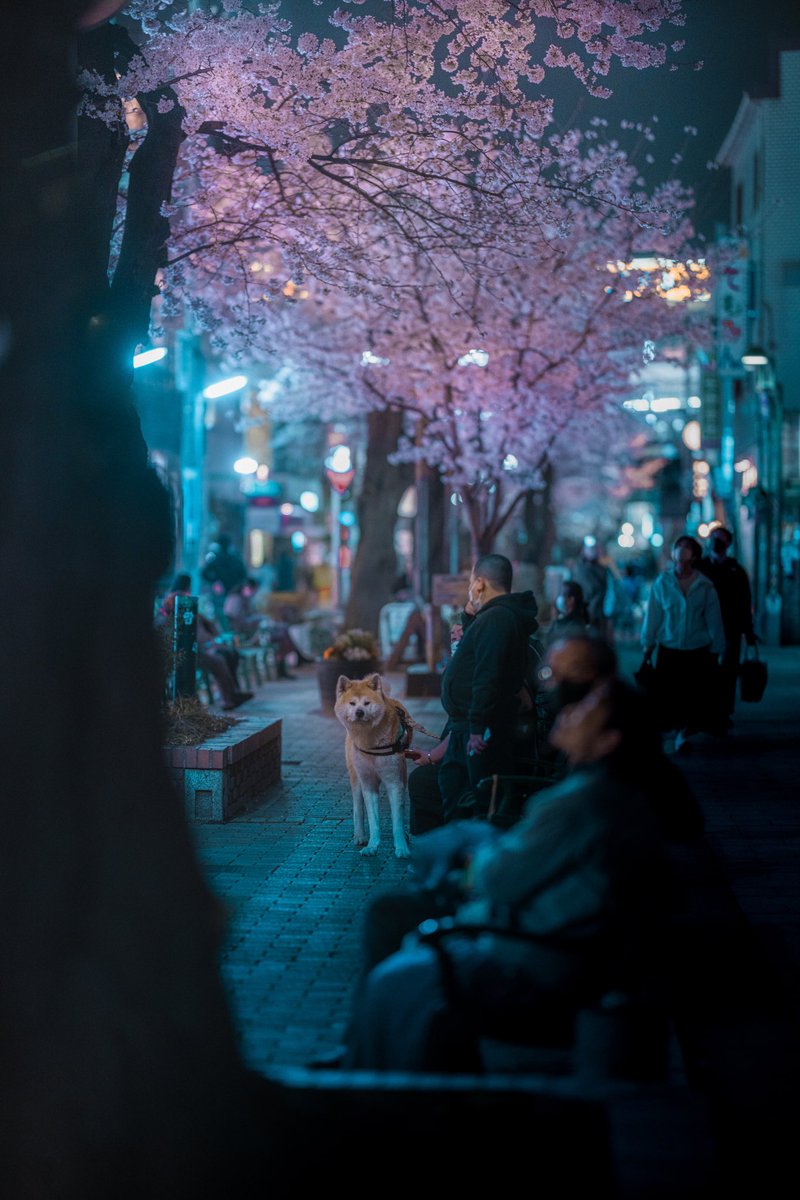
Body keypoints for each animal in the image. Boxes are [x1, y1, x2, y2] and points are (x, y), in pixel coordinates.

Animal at [335, 672, 417, 859]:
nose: (359, 712)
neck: (370, 742)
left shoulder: (395, 783)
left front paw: (401, 848)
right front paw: (372, 846)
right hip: (356, 778)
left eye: (366, 703)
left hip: (402, 775)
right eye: (352, 703)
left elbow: (397, 822)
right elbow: (373, 822)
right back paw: (360, 836)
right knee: (358, 809)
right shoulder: (368, 784)